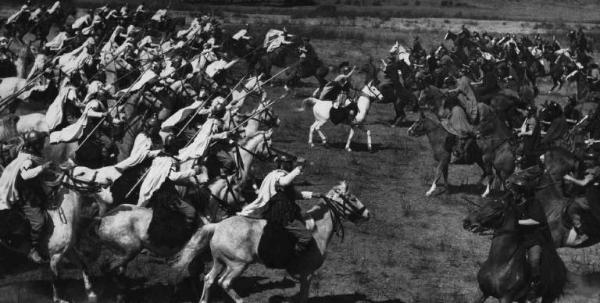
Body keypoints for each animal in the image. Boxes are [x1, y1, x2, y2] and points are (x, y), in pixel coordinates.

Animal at [171, 180, 368, 303]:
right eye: (352, 198)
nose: (367, 213)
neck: (317, 231)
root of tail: (217, 226)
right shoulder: (307, 274)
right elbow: (303, 296)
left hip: (220, 262)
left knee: (209, 279)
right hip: (238, 265)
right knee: (224, 282)